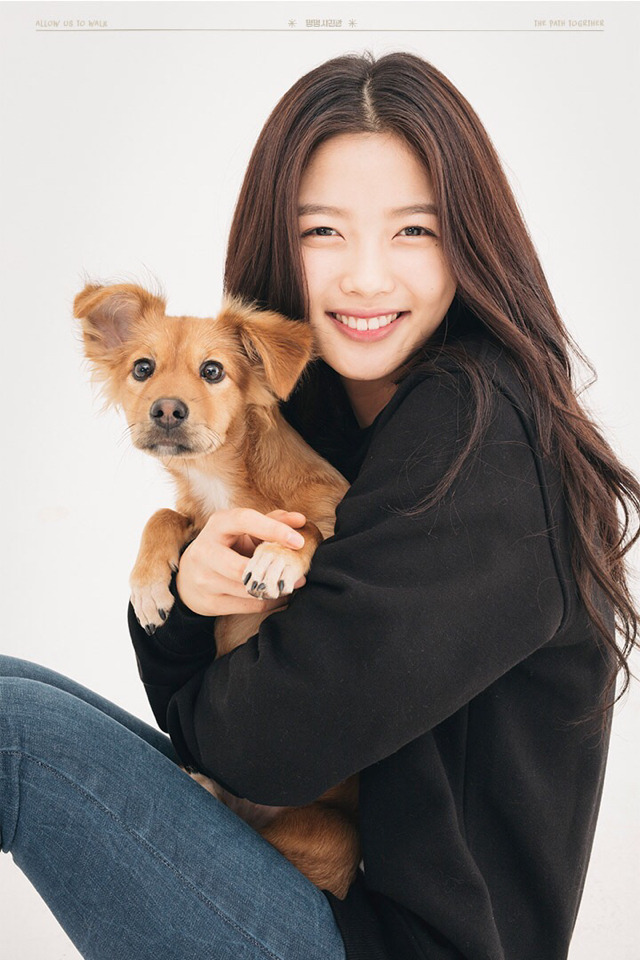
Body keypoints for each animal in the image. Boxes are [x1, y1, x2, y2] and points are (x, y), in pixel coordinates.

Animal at [75, 282, 360, 899]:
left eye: (213, 371)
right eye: (143, 368)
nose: (166, 410)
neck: (225, 483)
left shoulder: (329, 516)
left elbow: (304, 526)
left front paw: (277, 555)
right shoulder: (197, 522)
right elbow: (163, 514)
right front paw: (149, 587)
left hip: (330, 841)